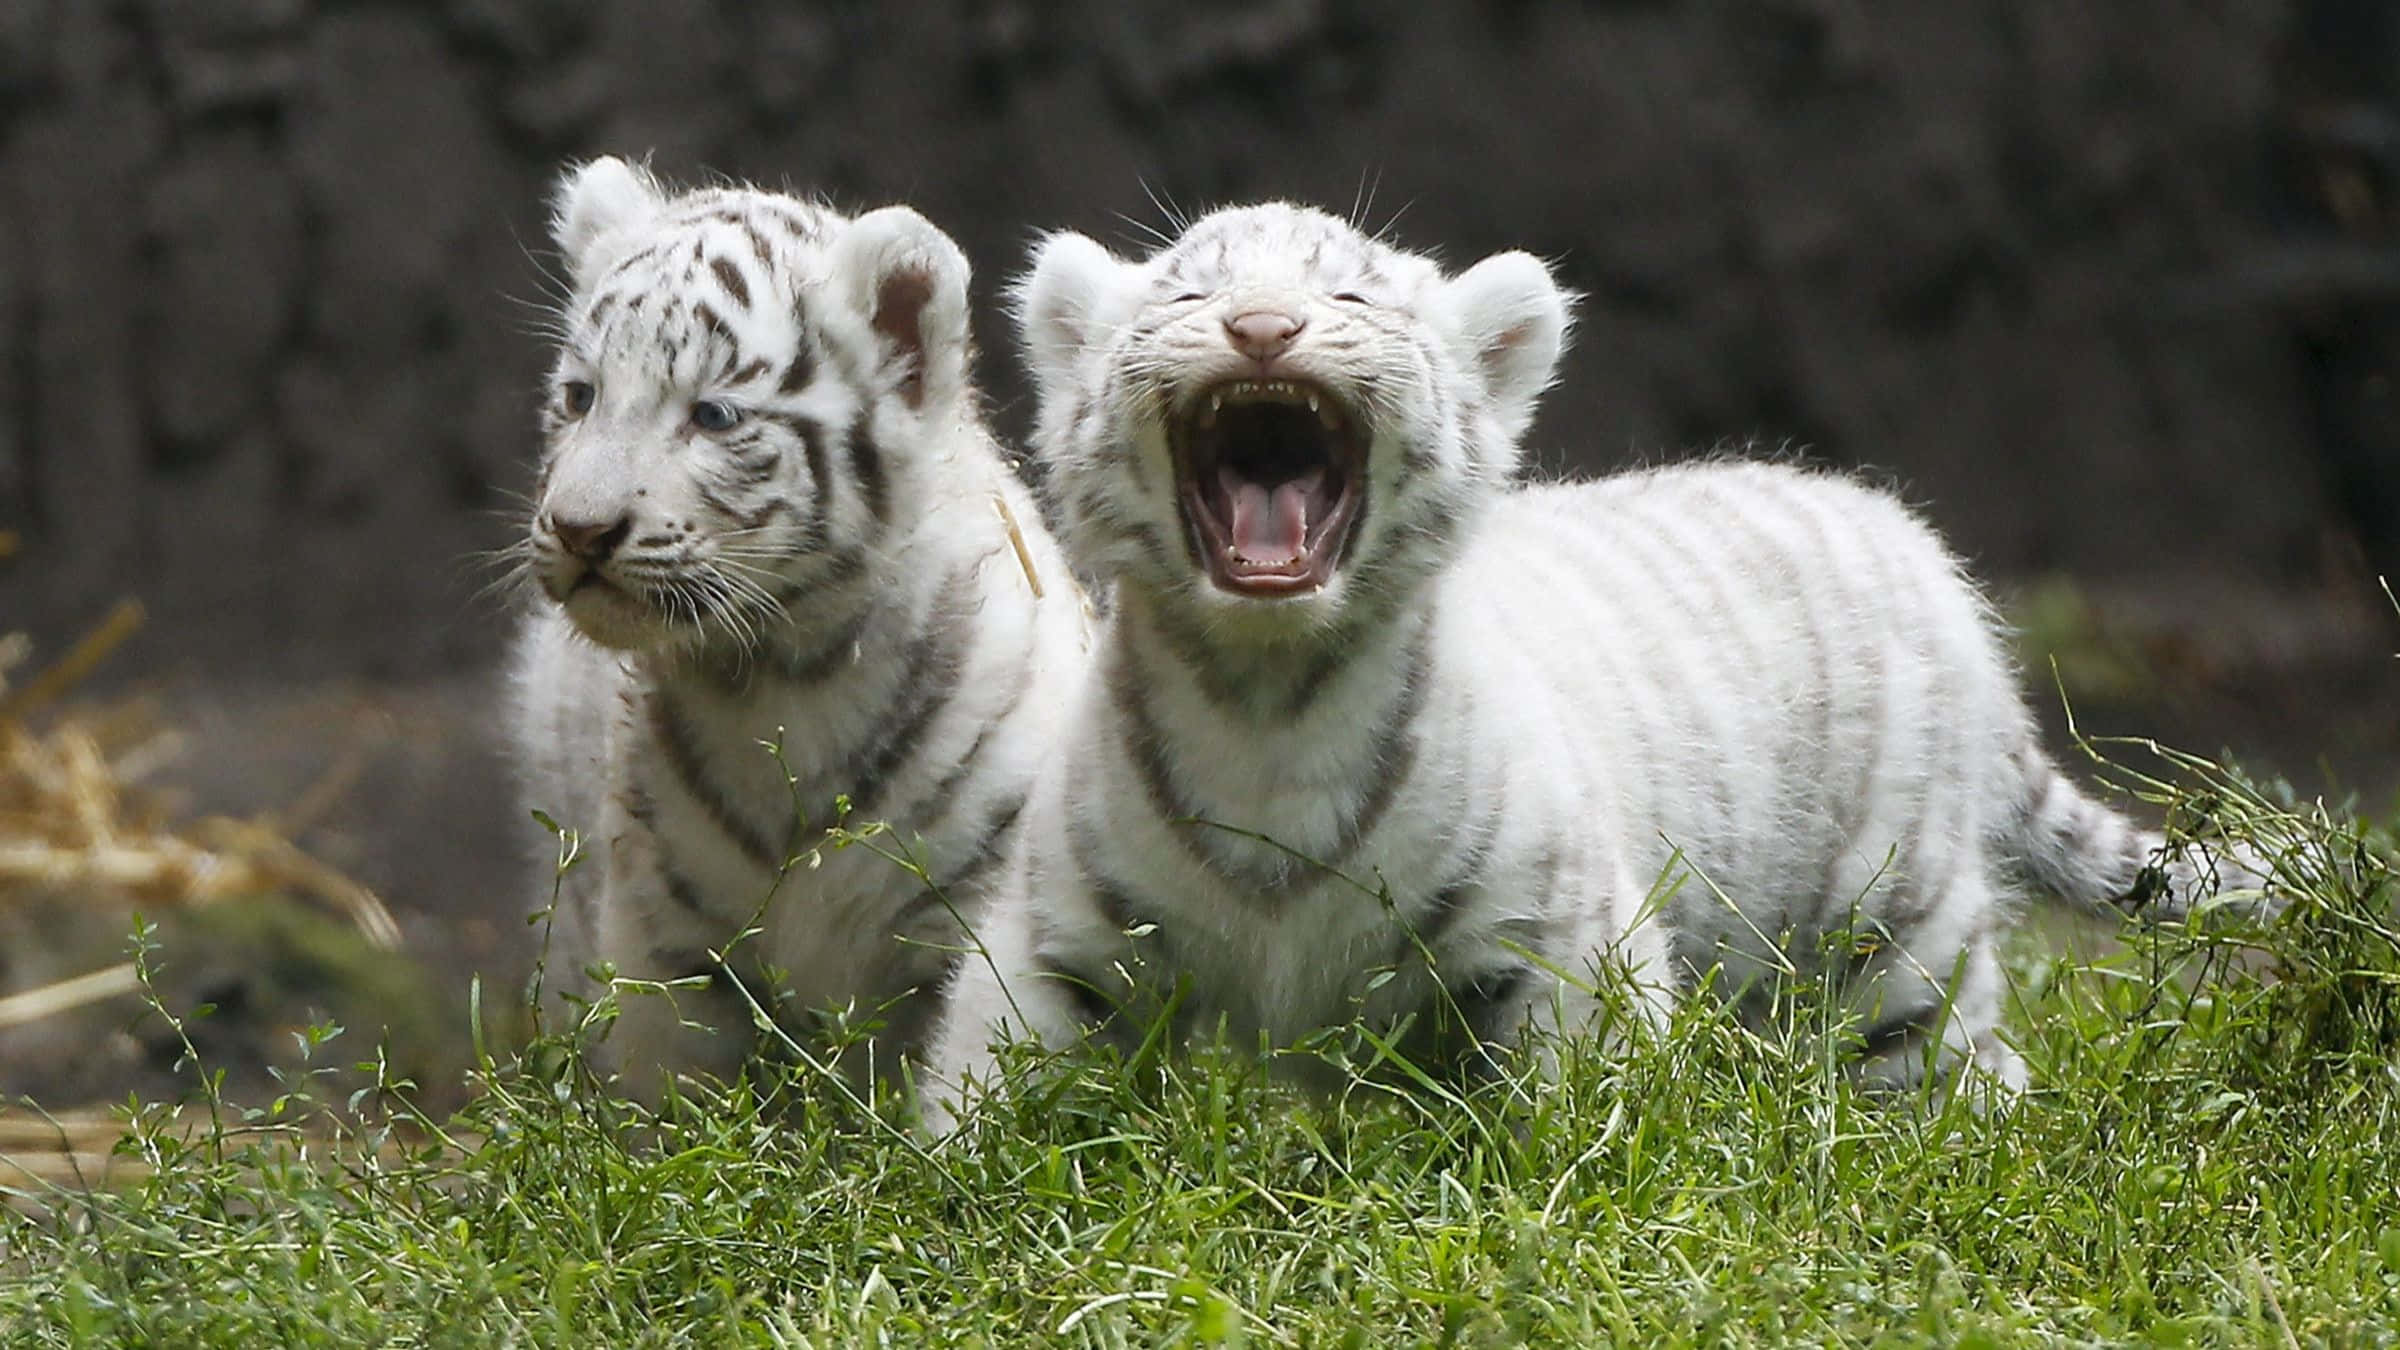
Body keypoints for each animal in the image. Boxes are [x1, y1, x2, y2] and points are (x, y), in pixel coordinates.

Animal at [507, 157, 1088, 1103]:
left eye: (712, 415)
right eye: (580, 396)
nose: (579, 529)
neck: (786, 675)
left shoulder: (980, 902)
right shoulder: (669, 945)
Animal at [919, 201, 2269, 1131]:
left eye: (1348, 296)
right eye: (1190, 294)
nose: (1262, 327)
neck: (1268, 702)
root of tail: (1920, 551)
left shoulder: (1554, 934)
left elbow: (1571, 1115)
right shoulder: (1062, 937)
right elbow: (991, 1081)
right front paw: (961, 1205)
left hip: (1893, 926)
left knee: (1956, 1065)